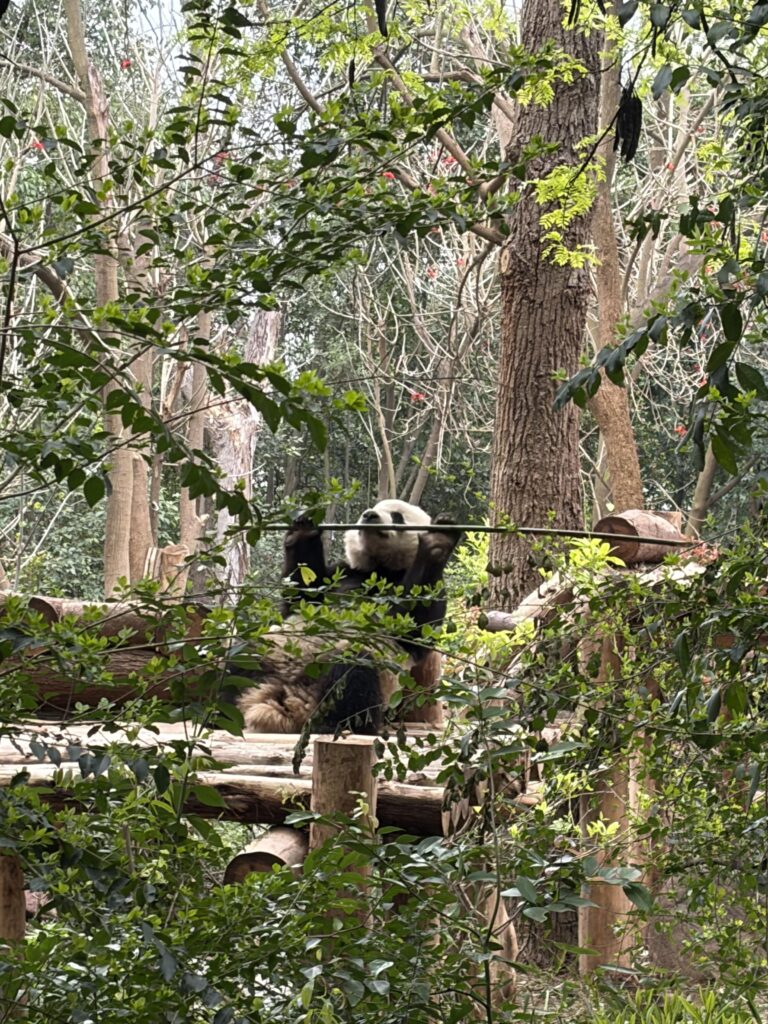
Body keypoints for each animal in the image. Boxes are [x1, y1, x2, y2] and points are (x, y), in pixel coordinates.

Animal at [236, 499, 461, 734]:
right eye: (372, 509)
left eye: (397, 517)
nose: (369, 515)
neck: (380, 568)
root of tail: (293, 698)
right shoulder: (343, 572)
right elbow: (301, 598)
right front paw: (303, 529)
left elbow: (412, 627)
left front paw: (438, 539)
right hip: (275, 652)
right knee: (242, 658)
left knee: (354, 673)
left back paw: (334, 725)